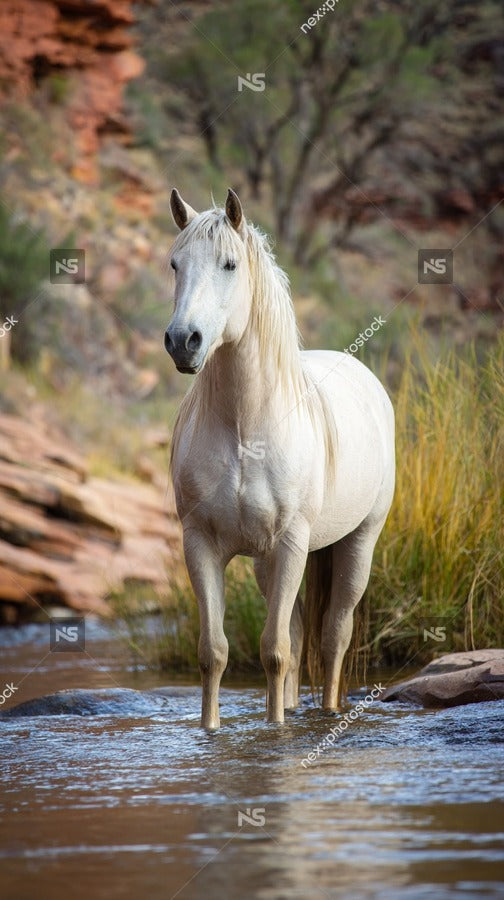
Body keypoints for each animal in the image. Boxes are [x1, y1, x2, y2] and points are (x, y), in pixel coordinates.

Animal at [164, 188, 395, 730]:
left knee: (332, 636)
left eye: (229, 264)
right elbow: (216, 652)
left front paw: (276, 731)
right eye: (175, 264)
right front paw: (213, 730)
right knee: (295, 631)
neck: (245, 430)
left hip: (357, 544)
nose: (183, 342)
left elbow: (273, 651)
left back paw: (328, 711)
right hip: (268, 563)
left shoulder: (292, 542)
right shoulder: (201, 544)